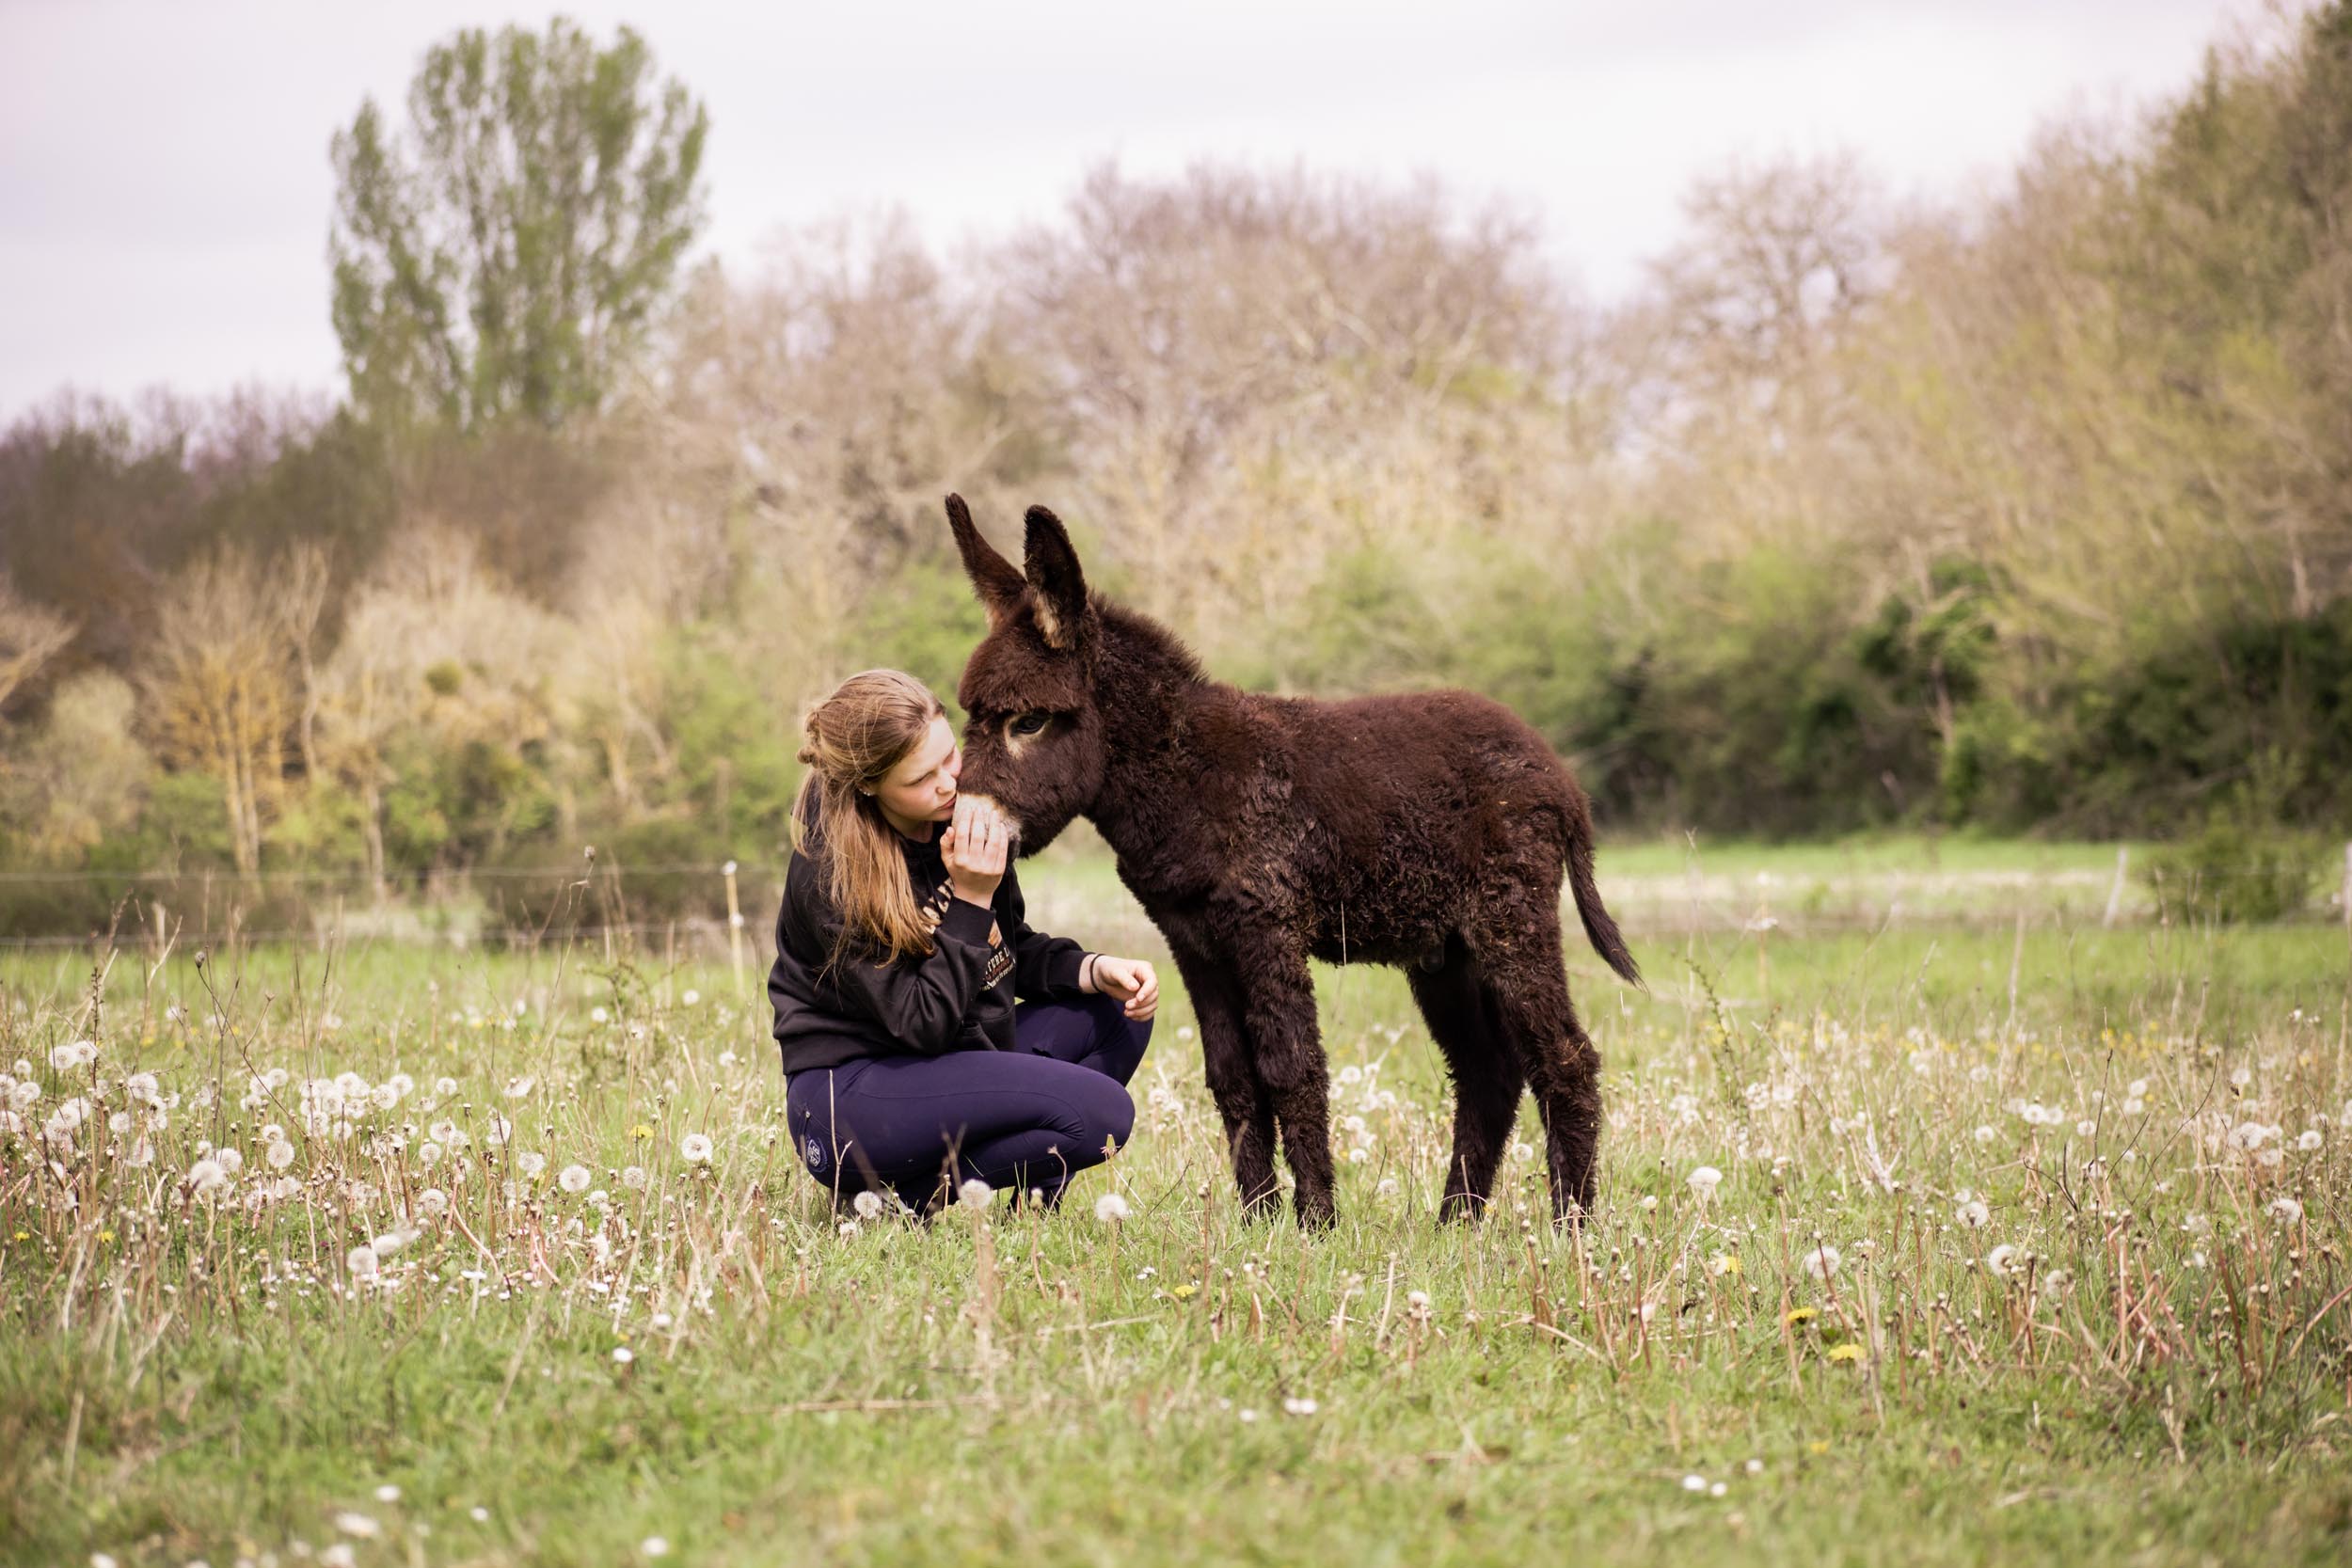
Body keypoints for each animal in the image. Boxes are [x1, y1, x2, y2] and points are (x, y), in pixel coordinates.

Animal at [936, 496, 1637, 1231]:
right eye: (971, 719)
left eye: (1029, 722)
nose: (959, 832)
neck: (1185, 774)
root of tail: (1558, 774)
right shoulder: (1196, 943)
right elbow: (1232, 1078)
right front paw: (1257, 1218)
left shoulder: (1266, 928)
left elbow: (1291, 1068)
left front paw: (1316, 1222)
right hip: (1446, 953)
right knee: (1487, 1072)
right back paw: (1456, 1223)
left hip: (1509, 921)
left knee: (1566, 1056)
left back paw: (1570, 1226)